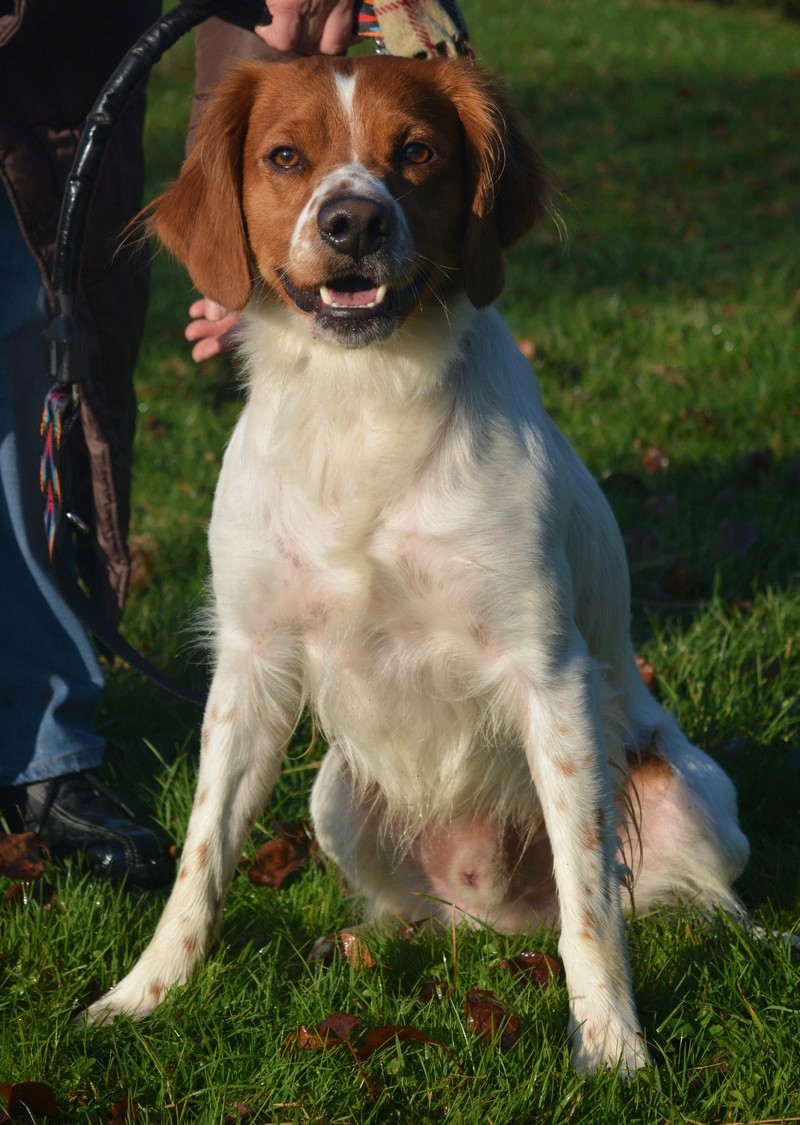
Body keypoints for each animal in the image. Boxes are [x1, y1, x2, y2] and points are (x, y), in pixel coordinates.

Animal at [87, 52, 751, 1071]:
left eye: (419, 153)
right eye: (285, 156)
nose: (353, 223)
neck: (362, 397)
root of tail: (500, 915)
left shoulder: (550, 672)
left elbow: (592, 902)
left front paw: (610, 1045)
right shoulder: (251, 663)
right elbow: (201, 858)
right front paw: (143, 994)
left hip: (692, 793)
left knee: (677, 901)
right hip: (332, 794)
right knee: (420, 913)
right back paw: (361, 938)